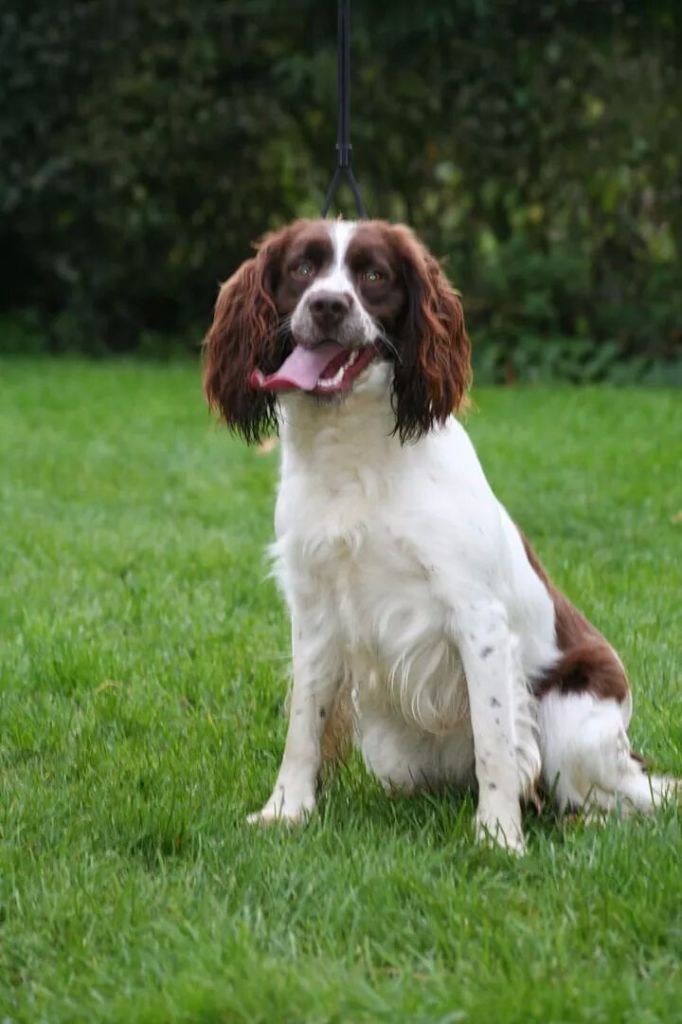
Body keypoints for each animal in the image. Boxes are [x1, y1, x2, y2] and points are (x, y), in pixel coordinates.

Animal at [202, 220, 675, 851]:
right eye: (302, 269)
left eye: (374, 275)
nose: (328, 306)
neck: (355, 458)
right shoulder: (314, 612)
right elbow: (304, 724)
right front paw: (287, 810)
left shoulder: (479, 619)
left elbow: (497, 742)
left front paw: (498, 836)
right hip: (393, 752)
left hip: (574, 724)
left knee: (618, 796)